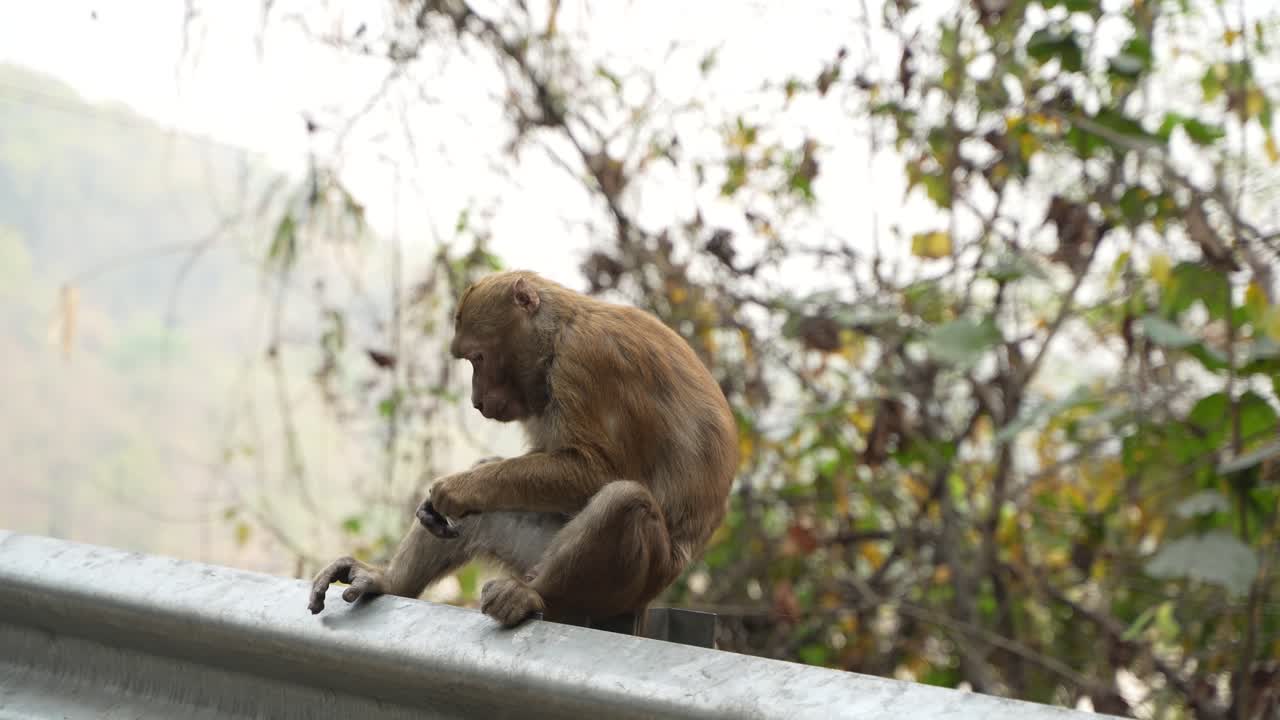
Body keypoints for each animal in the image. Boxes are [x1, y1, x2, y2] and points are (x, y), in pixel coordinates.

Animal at [308, 270, 738, 629]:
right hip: (536, 552)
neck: (560, 333)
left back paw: (533, 595)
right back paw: (387, 581)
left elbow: (597, 470)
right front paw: (454, 492)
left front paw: (454, 489)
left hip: (635, 582)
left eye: (478, 358)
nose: (477, 400)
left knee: (624, 501)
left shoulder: (588, 360)